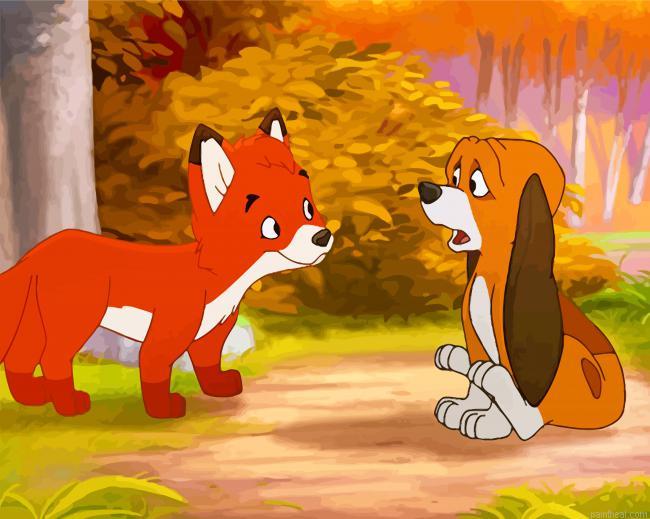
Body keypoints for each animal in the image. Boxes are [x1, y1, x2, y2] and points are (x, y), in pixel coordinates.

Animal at [0, 108, 333, 419]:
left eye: (307, 208)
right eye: (272, 227)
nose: (323, 236)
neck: (213, 280)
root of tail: (37, 251)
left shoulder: (211, 333)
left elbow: (208, 365)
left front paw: (219, 387)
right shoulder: (165, 333)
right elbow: (155, 371)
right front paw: (163, 409)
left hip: (38, 320)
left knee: (20, 358)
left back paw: (34, 397)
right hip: (75, 321)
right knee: (52, 359)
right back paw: (69, 405)